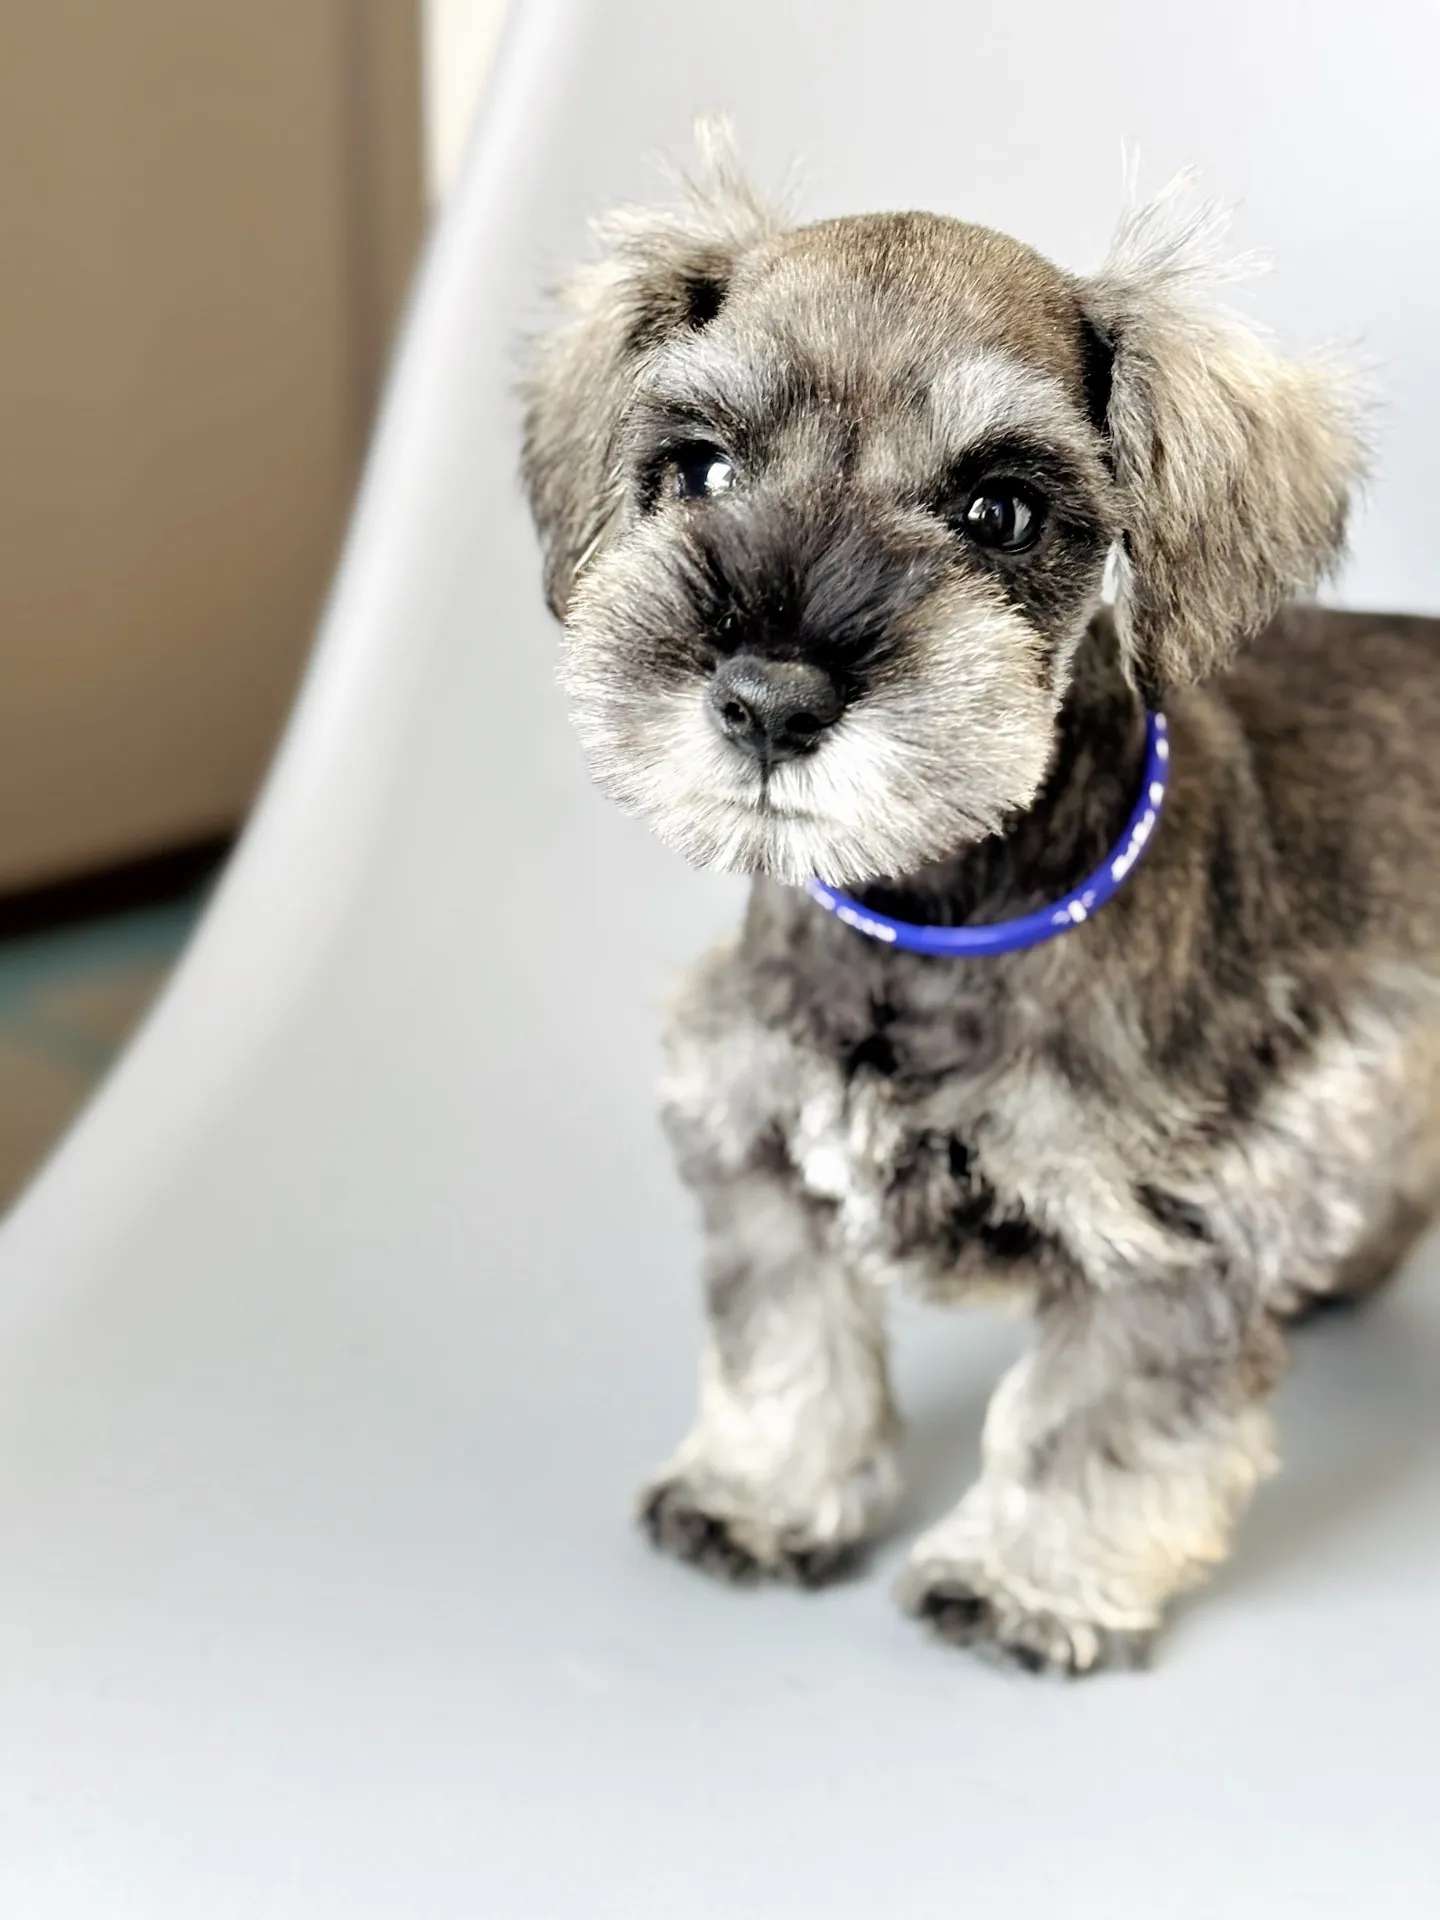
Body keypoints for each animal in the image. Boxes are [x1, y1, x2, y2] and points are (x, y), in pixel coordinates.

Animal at [520, 125, 1440, 1673]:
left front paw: (1029, 1582)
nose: (768, 699)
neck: (937, 911)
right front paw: (759, 1497)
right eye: (700, 467)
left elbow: (1094, 1430)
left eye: (998, 509)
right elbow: (786, 1345)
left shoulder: (1161, 1242)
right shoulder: (757, 1149)